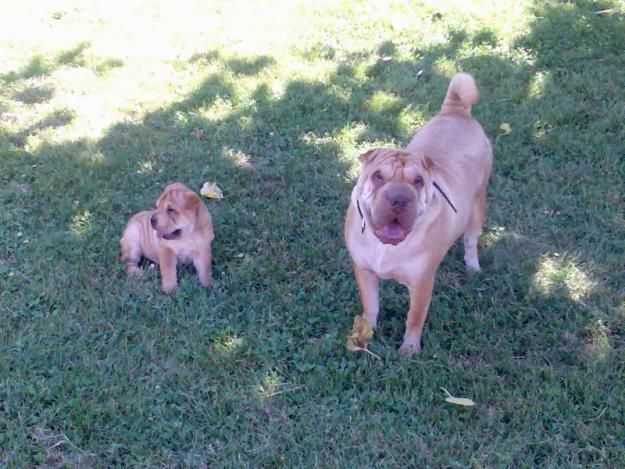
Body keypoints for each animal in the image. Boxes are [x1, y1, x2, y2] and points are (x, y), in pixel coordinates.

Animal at [346, 72, 492, 354]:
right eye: (378, 177)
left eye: (417, 181)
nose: (399, 198)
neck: (387, 247)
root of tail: (456, 111)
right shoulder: (365, 271)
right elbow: (371, 306)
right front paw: (366, 333)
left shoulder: (422, 283)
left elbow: (415, 317)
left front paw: (409, 349)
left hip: (477, 205)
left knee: (470, 239)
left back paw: (472, 266)